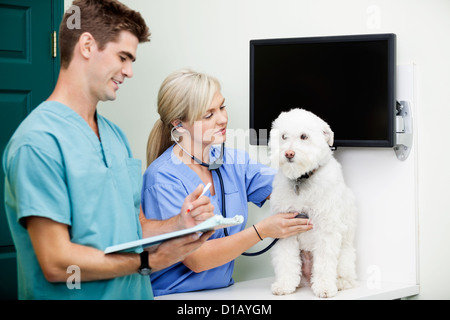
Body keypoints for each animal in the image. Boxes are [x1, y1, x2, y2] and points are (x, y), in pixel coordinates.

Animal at [268, 109, 356, 298]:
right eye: (284, 136)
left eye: (304, 136)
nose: (289, 153)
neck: (301, 180)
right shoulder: (286, 230)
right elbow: (286, 260)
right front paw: (284, 285)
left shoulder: (326, 230)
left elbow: (324, 262)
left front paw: (324, 287)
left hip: (345, 256)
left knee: (347, 276)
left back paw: (339, 282)